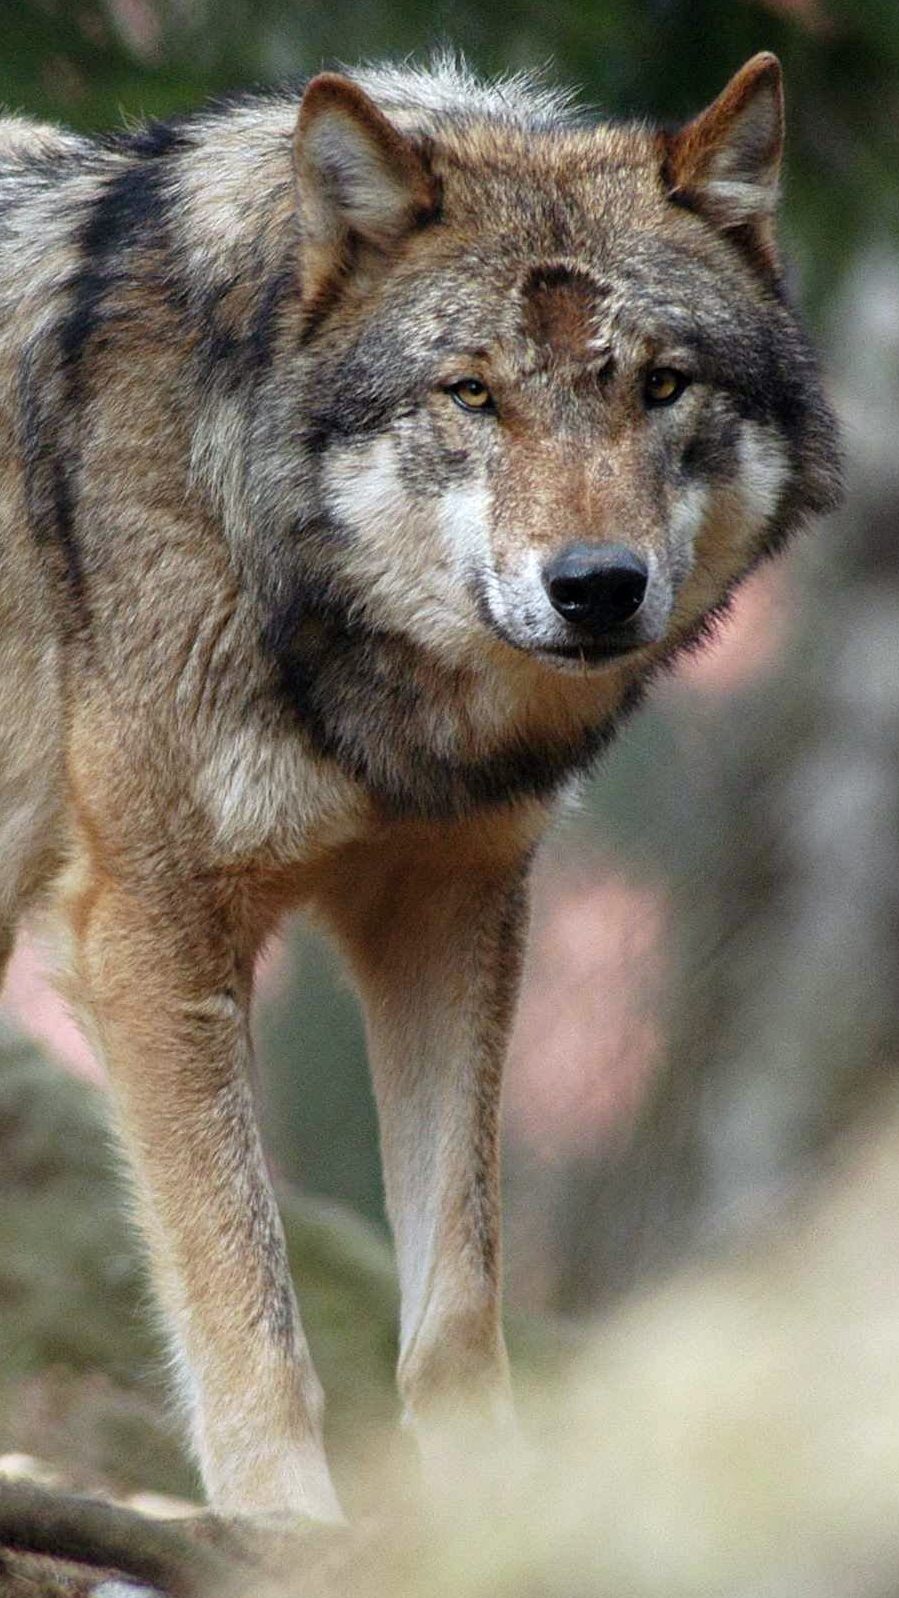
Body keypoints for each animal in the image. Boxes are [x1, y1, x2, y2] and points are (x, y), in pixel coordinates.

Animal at [0, 50, 839, 1519]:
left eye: (660, 385)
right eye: (470, 393)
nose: (596, 585)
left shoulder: (446, 904)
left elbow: (454, 1303)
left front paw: (489, 1522)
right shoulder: (148, 925)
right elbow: (249, 1306)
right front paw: (284, 1532)